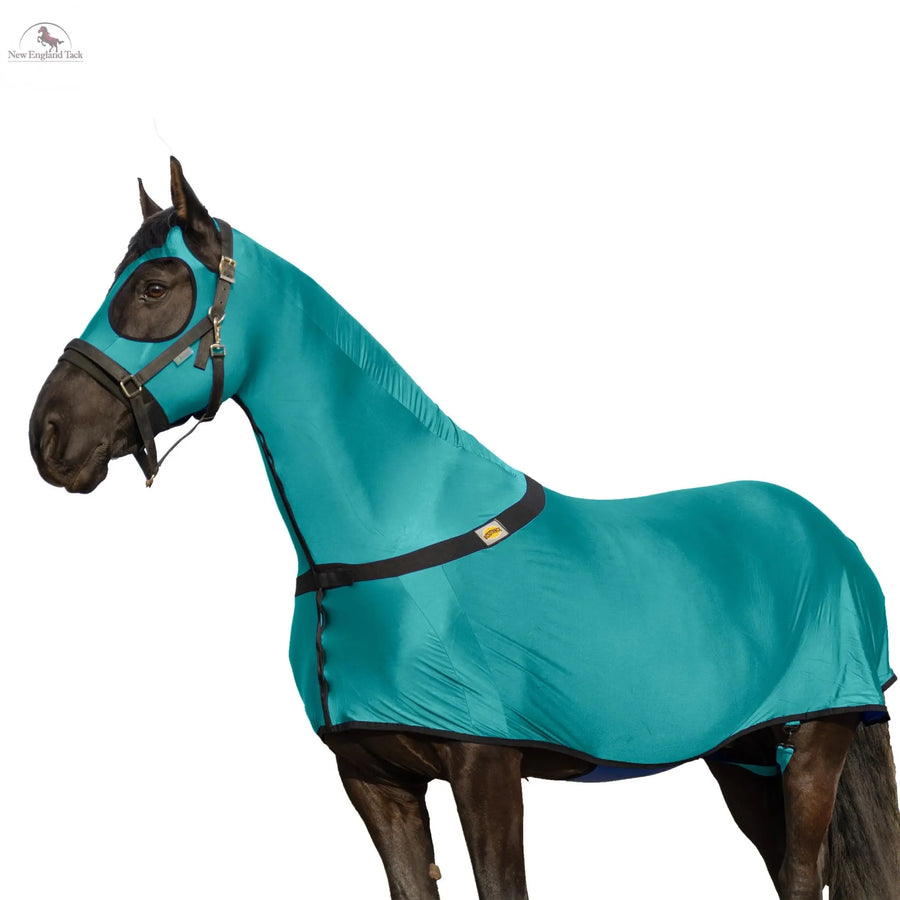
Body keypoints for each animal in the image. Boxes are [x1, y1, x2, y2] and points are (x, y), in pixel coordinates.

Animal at [29, 157, 900, 899]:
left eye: (154, 286)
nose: (49, 436)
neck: (388, 537)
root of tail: (830, 534)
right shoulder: (374, 779)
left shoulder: (487, 768)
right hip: (746, 757)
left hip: (815, 743)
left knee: (803, 875)